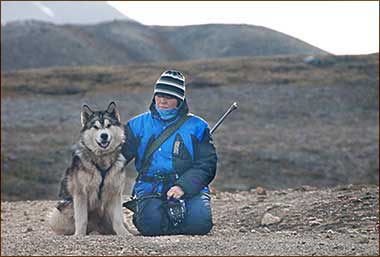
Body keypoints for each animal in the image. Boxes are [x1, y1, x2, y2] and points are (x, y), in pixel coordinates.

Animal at [48, 101, 131, 235]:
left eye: (108, 125)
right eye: (95, 127)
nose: (104, 135)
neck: (101, 159)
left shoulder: (115, 193)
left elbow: (118, 220)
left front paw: (125, 234)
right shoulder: (80, 193)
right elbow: (82, 219)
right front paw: (79, 235)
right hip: (58, 215)